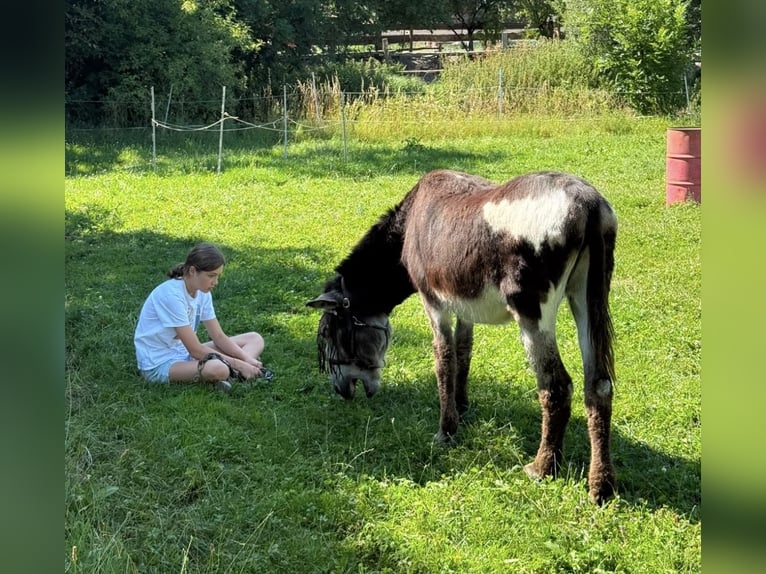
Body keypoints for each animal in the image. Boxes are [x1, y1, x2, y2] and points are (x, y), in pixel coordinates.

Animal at [306, 169, 618, 503]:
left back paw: (542, 467)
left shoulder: (433, 303)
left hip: (533, 313)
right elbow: (463, 352)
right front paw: (462, 406)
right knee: (598, 386)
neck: (409, 223)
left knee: (556, 386)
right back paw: (601, 486)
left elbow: (444, 361)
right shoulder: (464, 308)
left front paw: (446, 430)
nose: (340, 390)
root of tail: (588, 203)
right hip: (586, 297)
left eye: (330, 333)